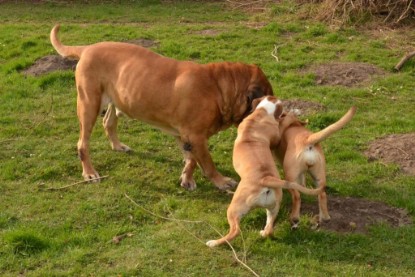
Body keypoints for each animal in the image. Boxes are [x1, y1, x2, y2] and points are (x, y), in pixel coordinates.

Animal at [49, 24, 276, 190]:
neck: (219, 88)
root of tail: (87, 48)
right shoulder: (195, 137)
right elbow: (207, 163)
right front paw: (221, 181)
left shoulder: (187, 137)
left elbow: (192, 160)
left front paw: (186, 179)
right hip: (89, 105)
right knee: (83, 143)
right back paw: (89, 172)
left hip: (116, 100)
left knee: (109, 123)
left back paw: (118, 146)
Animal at [206, 96, 324, 247]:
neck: (262, 113)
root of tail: (265, 179)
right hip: (273, 207)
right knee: (269, 228)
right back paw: (264, 233)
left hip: (234, 208)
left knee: (235, 230)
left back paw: (214, 243)